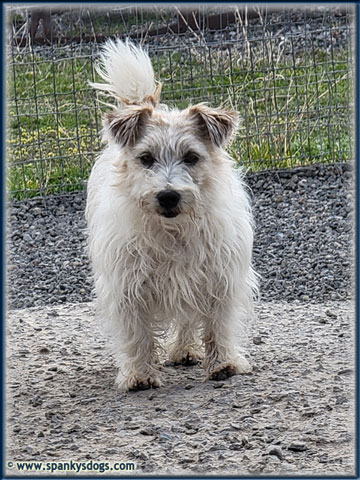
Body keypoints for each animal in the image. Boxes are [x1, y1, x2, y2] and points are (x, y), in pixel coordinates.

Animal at [86, 39, 258, 392]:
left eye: (191, 157)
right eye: (146, 158)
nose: (168, 195)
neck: (173, 231)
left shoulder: (221, 278)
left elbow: (218, 324)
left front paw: (224, 364)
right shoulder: (127, 287)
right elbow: (138, 335)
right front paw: (139, 374)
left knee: (188, 319)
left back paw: (185, 350)